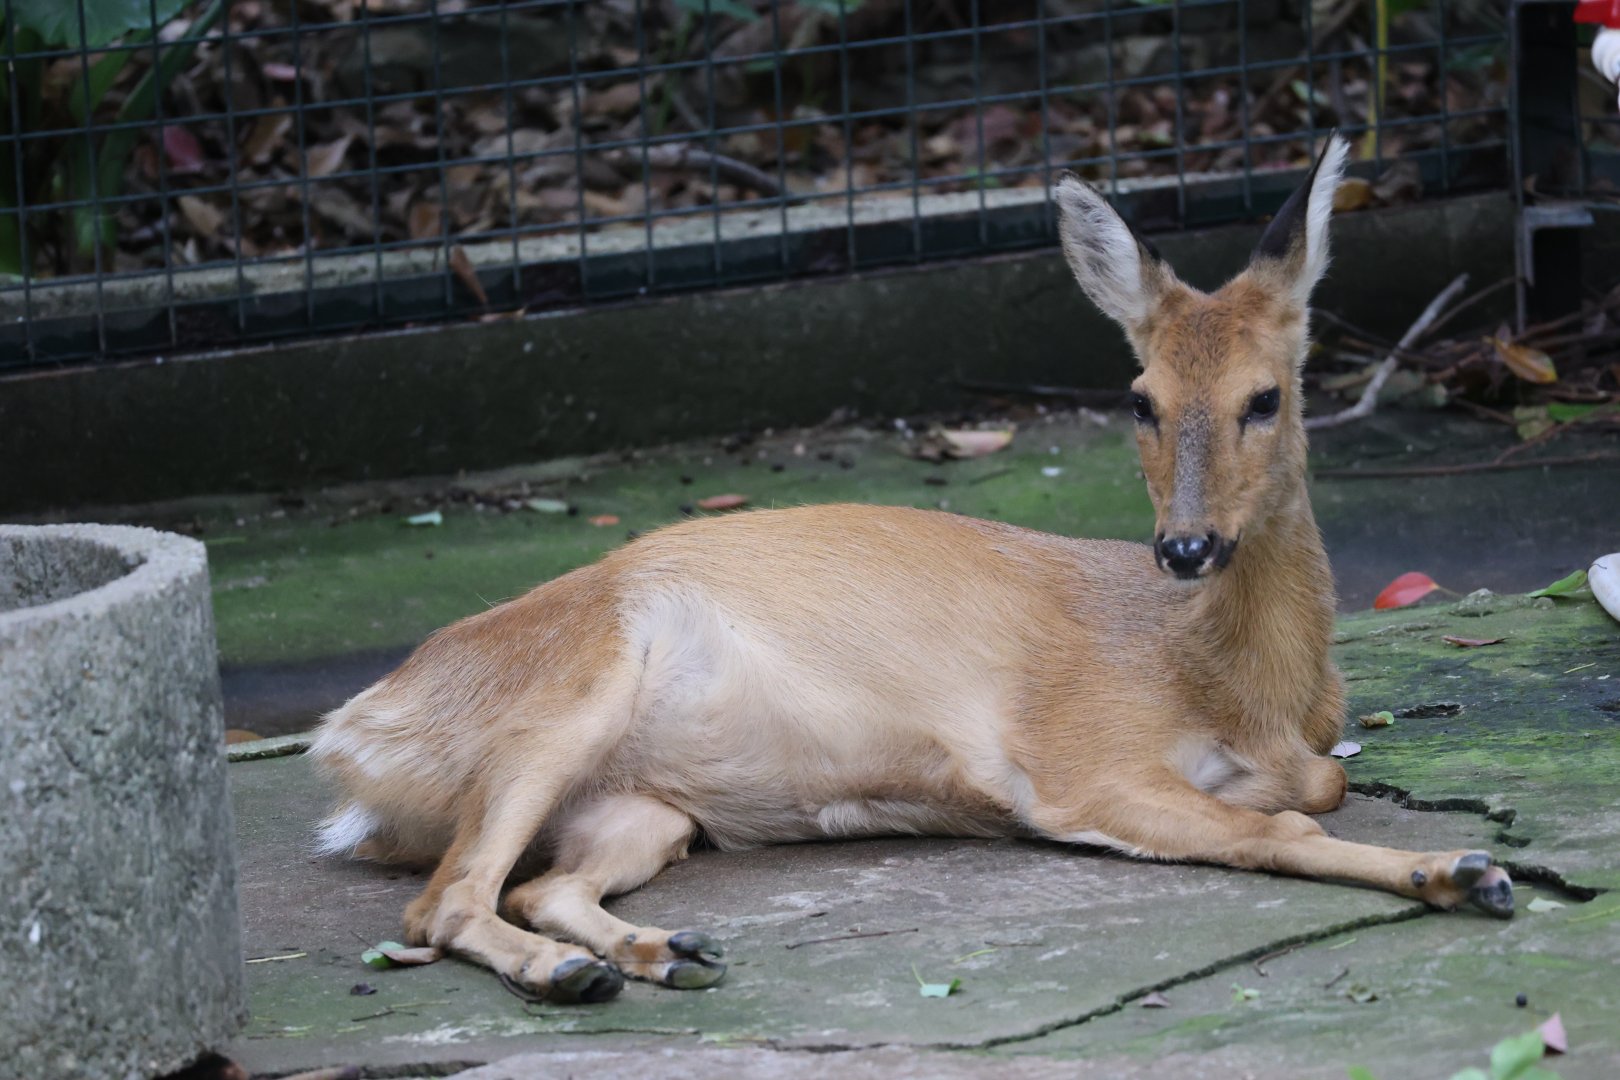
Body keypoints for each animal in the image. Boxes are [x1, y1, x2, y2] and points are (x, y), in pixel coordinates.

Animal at [308, 135, 1513, 1006]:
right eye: (1141, 398)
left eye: (1266, 397)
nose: (1184, 546)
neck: (1236, 687)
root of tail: (353, 737)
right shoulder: (1074, 761)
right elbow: (1287, 826)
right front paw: (1464, 869)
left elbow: (1320, 786)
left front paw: (1463, 872)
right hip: (566, 692)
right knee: (439, 906)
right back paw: (573, 974)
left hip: (639, 809)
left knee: (541, 885)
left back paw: (663, 953)